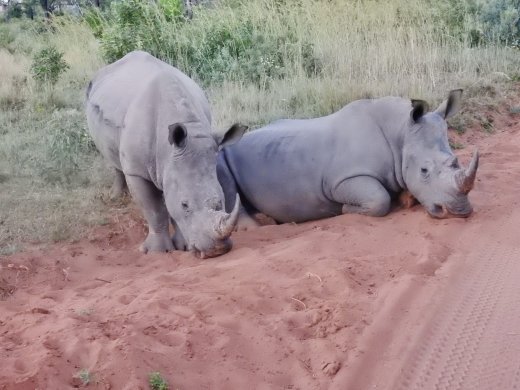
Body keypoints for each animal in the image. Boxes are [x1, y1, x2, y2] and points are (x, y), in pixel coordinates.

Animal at [86, 51, 247, 258]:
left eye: (220, 201)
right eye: (185, 205)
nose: (216, 250)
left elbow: (170, 204)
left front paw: (183, 246)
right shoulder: (136, 171)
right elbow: (154, 209)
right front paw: (157, 251)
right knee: (114, 159)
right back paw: (116, 196)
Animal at [217, 88, 478, 222]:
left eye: (455, 160)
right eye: (424, 171)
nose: (459, 211)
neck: (401, 133)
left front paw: (406, 198)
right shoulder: (341, 180)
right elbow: (379, 199)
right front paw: (345, 210)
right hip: (225, 152)